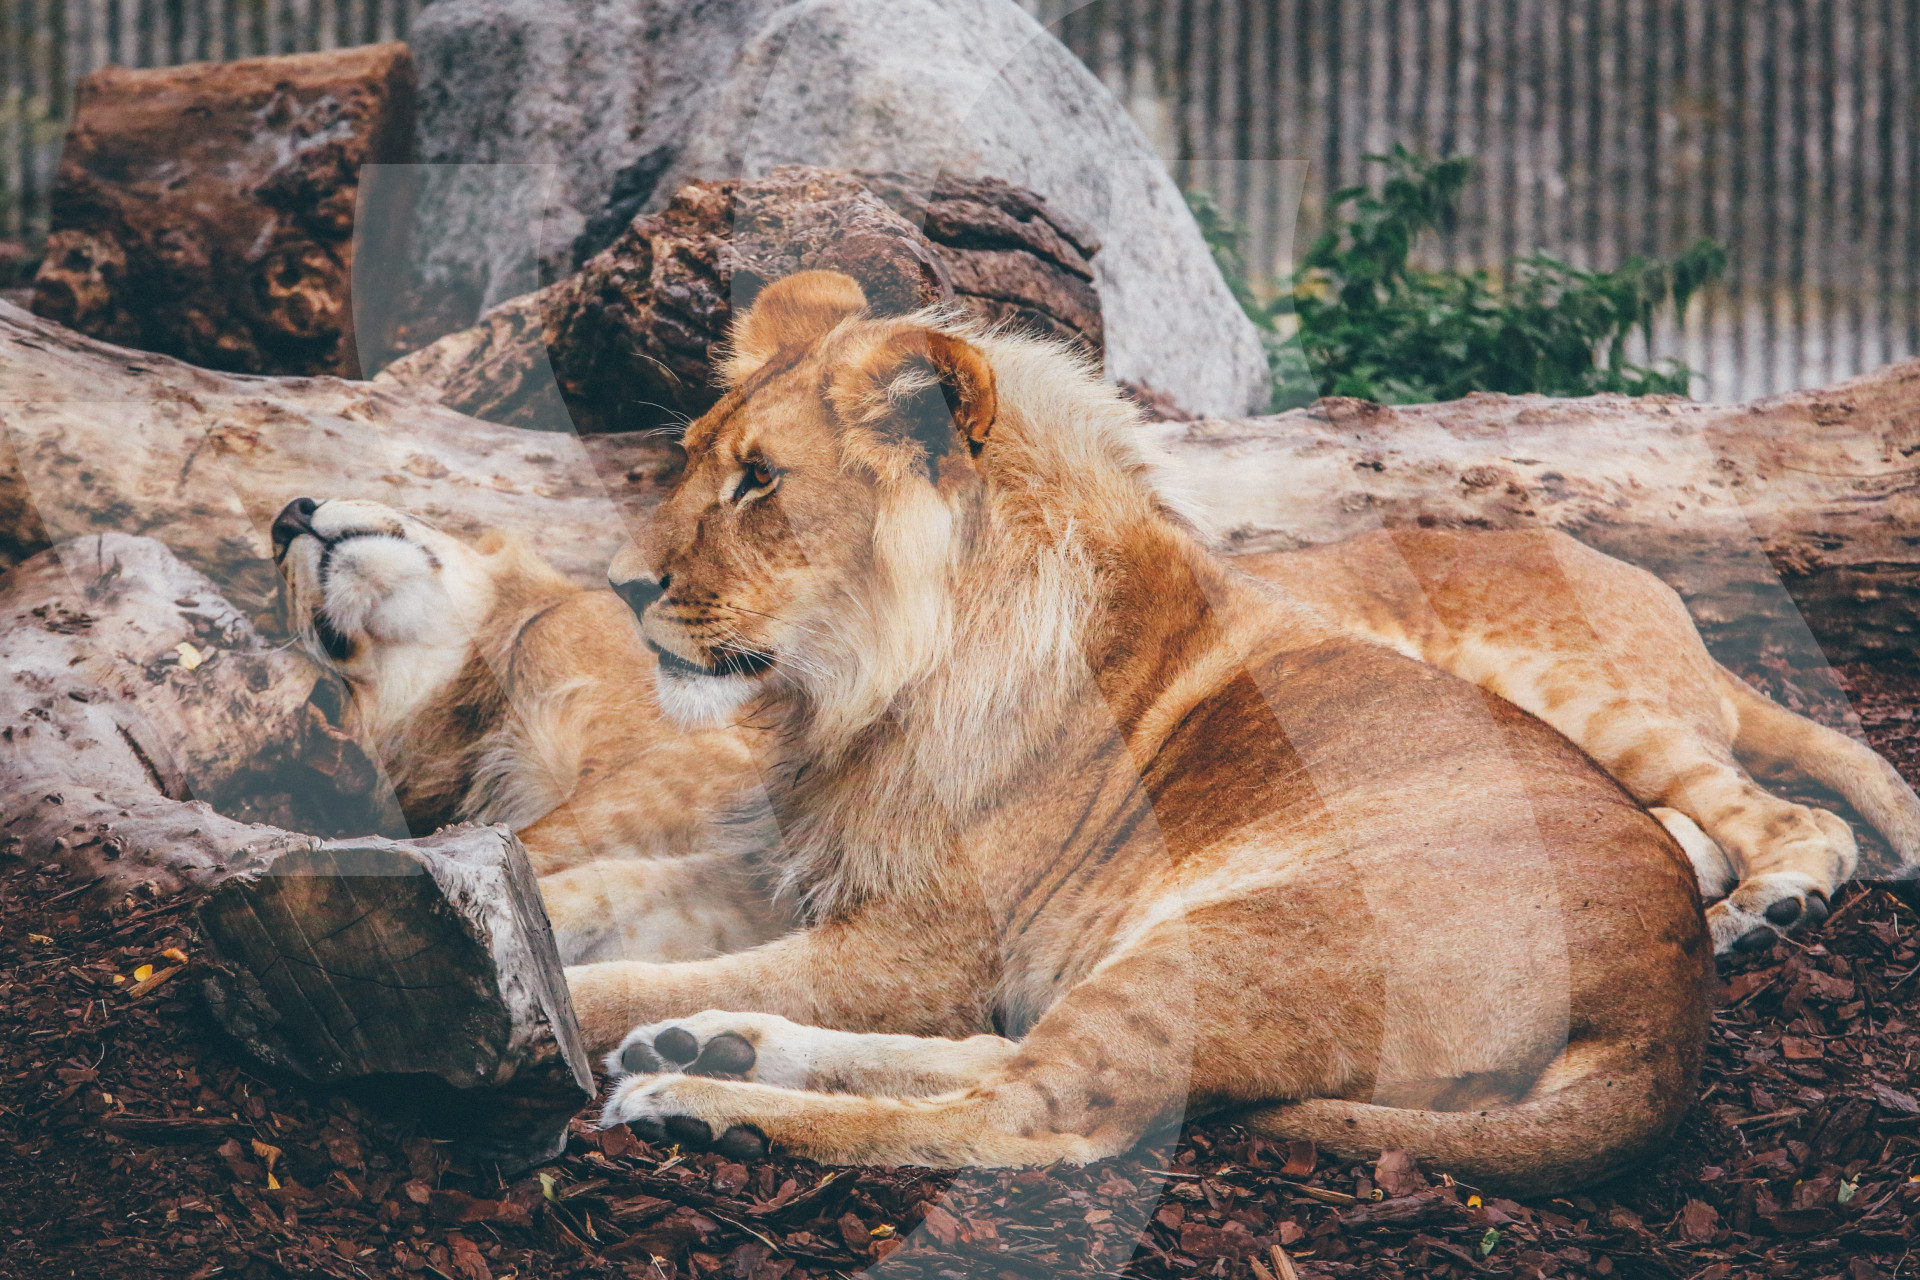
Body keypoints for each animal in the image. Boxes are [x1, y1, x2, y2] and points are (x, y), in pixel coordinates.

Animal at [564, 269, 1711, 1190]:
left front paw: (554, 1008)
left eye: (760, 479)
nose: (619, 587)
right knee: (1007, 1059)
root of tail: (1670, 1011)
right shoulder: (812, 869)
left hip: (1226, 943)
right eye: (692, 459)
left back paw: (707, 1106)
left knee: (1025, 1115)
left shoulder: (925, 952)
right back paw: (714, 1047)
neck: (856, 687)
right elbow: (607, 892)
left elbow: (634, 979)